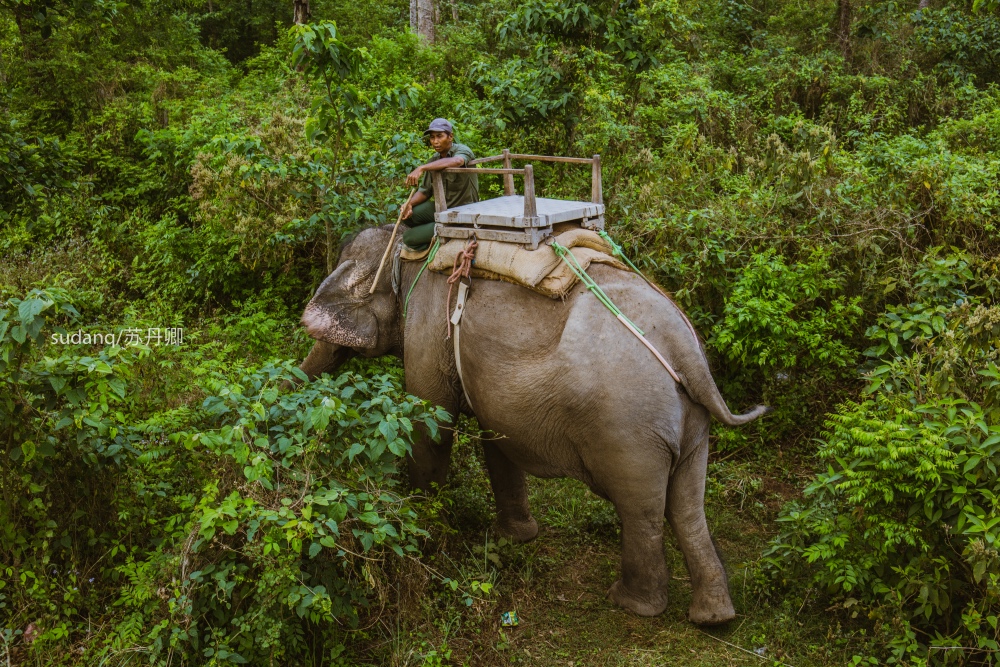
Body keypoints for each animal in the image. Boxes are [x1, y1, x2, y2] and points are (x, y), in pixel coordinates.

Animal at [294, 226, 764, 628]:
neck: (412, 249)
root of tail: (685, 349)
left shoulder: (428, 327)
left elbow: (432, 423)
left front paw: (425, 526)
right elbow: (495, 437)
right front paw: (516, 537)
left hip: (628, 425)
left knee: (641, 508)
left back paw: (630, 603)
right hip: (690, 422)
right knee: (687, 504)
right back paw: (714, 617)